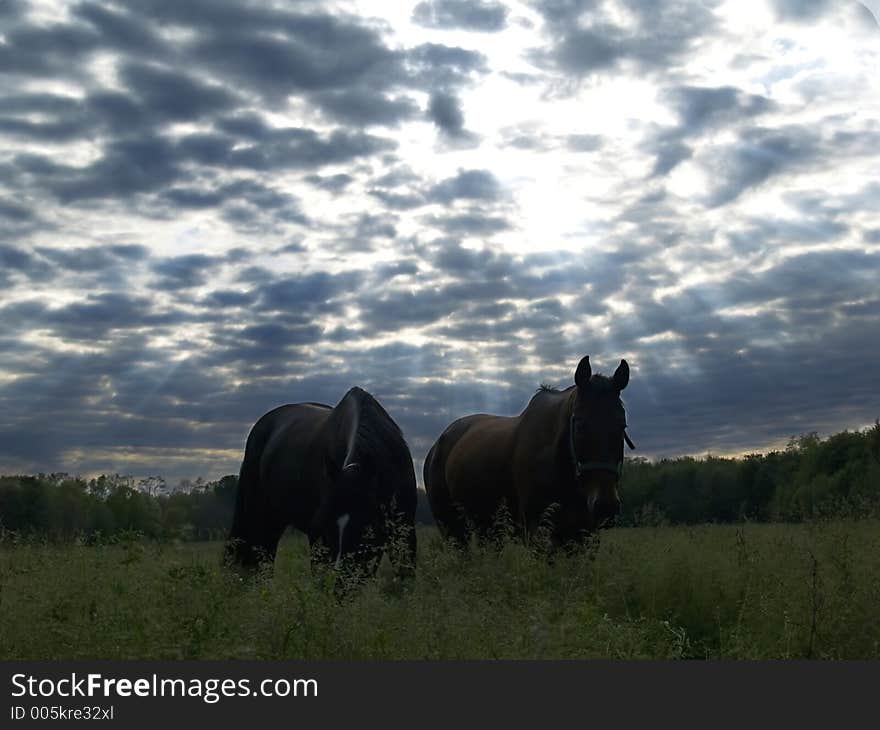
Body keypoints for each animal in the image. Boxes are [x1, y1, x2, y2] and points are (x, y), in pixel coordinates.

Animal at [227, 384, 420, 576]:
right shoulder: (317, 535)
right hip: (262, 514)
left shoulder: (403, 529)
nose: (340, 577)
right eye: (326, 526)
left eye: (365, 527)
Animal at [424, 352, 632, 544]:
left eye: (622, 426)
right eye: (580, 424)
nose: (605, 507)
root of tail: (437, 445)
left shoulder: (584, 534)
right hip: (452, 526)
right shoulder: (537, 530)